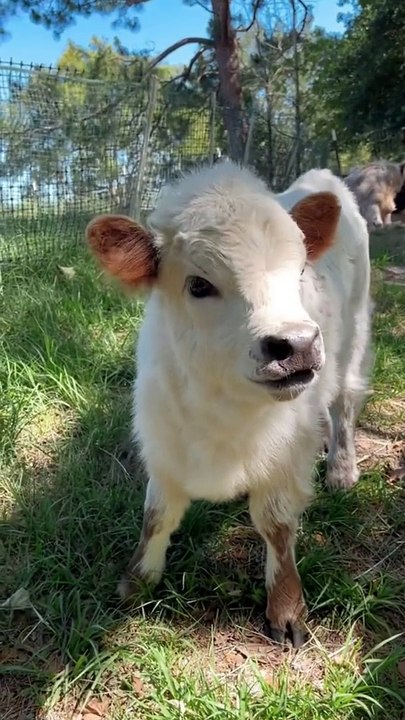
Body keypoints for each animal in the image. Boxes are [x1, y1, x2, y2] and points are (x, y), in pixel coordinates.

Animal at [86, 161, 372, 648]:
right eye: (199, 284)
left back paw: (341, 469)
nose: (297, 345)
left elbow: (276, 525)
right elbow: (156, 515)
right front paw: (137, 581)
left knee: (344, 401)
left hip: (354, 333)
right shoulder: (163, 443)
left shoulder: (284, 456)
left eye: (300, 270)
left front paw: (286, 609)